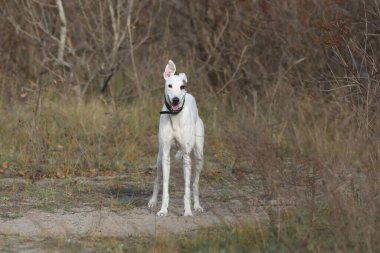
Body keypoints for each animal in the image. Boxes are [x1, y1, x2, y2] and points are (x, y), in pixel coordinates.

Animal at [148, 60, 205, 216]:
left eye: (182, 87)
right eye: (169, 85)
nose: (175, 100)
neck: (175, 116)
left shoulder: (186, 157)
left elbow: (187, 189)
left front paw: (188, 212)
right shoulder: (166, 156)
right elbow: (165, 186)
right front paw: (163, 210)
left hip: (199, 156)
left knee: (195, 183)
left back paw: (197, 206)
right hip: (159, 158)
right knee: (157, 179)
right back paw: (152, 201)